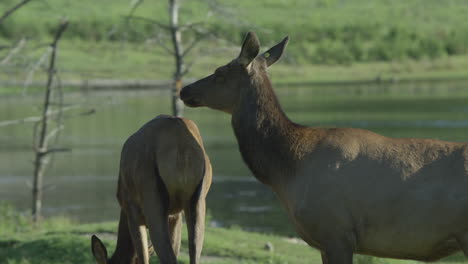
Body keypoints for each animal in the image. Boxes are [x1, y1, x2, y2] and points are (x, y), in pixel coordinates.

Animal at [89, 115, 212, 264]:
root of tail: (181, 145)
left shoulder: (133, 212)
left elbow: (143, 257)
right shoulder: (176, 215)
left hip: (151, 196)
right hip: (197, 200)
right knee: (193, 253)